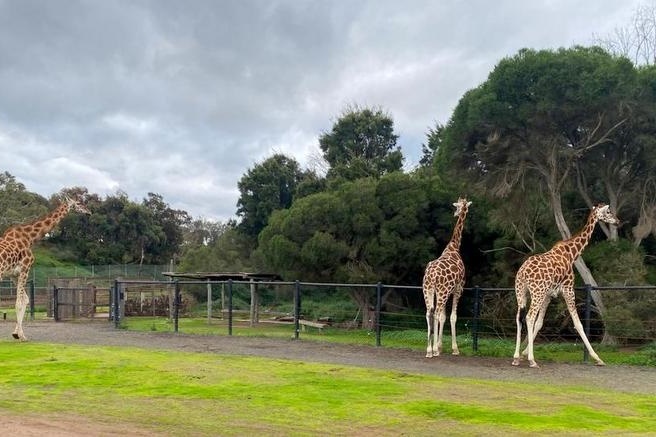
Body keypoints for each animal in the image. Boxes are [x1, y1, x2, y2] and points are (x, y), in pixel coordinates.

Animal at [0, 195, 89, 340]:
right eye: (78, 203)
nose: (89, 212)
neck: (30, 238)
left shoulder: (13, 274)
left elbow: (25, 299)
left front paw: (16, 333)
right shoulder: (25, 268)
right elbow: (19, 301)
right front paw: (21, 336)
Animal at [426, 198, 472, 358]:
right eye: (457, 206)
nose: (455, 213)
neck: (454, 246)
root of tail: (431, 275)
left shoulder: (444, 291)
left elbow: (443, 317)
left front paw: (440, 346)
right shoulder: (458, 289)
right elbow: (452, 317)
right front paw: (454, 348)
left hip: (428, 290)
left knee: (429, 313)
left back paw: (429, 350)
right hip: (442, 291)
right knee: (435, 313)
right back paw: (432, 350)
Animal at [512, 203, 620, 366]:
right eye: (608, 211)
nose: (618, 221)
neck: (572, 253)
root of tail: (523, 273)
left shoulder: (549, 295)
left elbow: (540, 323)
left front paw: (523, 353)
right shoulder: (568, 289)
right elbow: (578, 323)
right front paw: (597, 358)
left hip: (521, 291)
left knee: (519, 318)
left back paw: (516, 357)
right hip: (537, 292)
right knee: (529, 317)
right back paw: (532, 360)